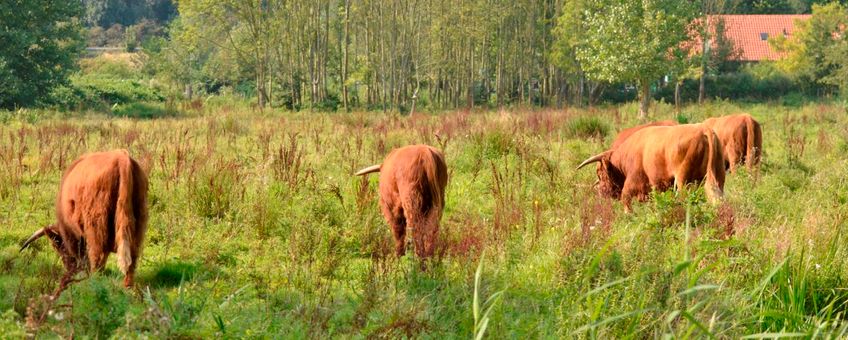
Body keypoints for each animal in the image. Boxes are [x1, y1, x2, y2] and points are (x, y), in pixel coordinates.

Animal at [19, 149, 149, 290]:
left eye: (58, 246)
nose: (69, 269)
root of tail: (121, 157)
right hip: (138, 221)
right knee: (132, 257)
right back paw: (127, 286)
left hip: (95, 224)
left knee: (97, 255)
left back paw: (94, 282)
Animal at [576, 124, 728, 210]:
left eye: (599, 173)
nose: (600, 193)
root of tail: (703, 129)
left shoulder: (633, 181)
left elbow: (626, 199)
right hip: (718, 175)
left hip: (683, 179)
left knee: (685, 197)